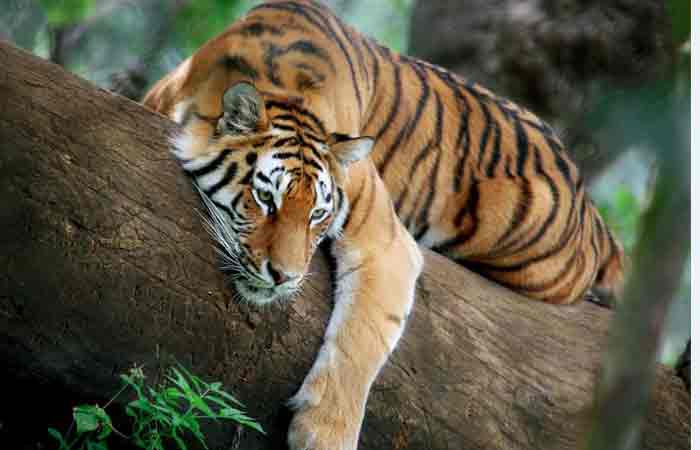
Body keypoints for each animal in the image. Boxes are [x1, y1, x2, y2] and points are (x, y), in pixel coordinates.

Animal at [142, 1, 625, 448]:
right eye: (265, 199)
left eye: (317, 214)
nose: (285, 277)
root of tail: (588, 204)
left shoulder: (386, 242)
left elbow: (361, 338)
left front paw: (323, 433)